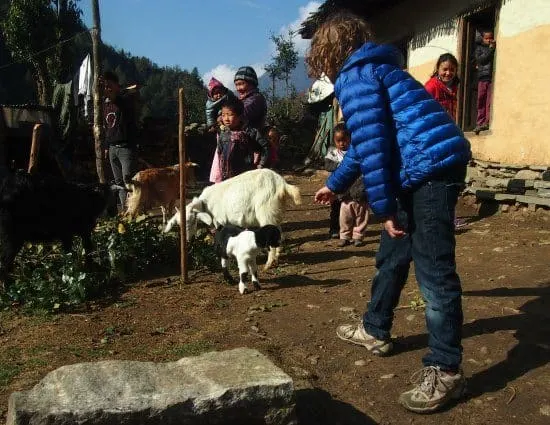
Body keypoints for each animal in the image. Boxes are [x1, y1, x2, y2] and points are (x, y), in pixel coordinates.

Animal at [164, 168, 302, 268]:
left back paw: (268, 264)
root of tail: (282, 184)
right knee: (278, 234)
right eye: (179, 225)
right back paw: (276, 258)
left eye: (192, 221)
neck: (206, 203)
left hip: (266, 212)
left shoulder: (221, 220)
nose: (188, 240)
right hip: (275, 214)